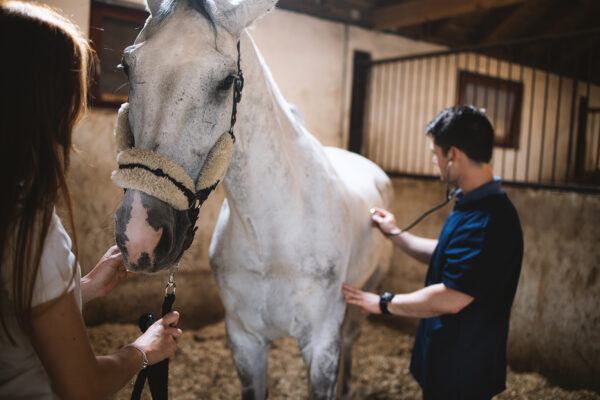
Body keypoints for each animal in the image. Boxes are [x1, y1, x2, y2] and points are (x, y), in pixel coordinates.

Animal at [112, 1, 394, 398]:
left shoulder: (321, 343)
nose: (140, 235)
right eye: (127, 65)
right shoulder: (245, 341)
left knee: (352, 337)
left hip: (364, 293)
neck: (271, 231)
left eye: (227, 80)